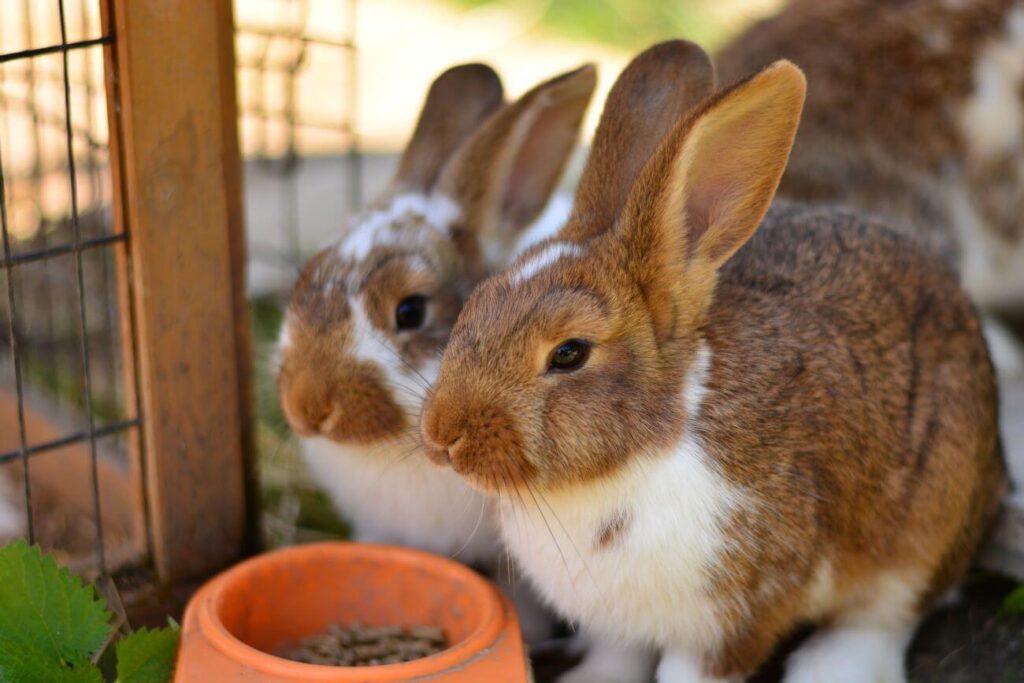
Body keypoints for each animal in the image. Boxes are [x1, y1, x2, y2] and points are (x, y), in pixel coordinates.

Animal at [417, 40, 1007, 679]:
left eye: (569, 354)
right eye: (476, 301)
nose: (441, 436)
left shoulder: (735, 615)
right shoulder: (615, 621)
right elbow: (614, 657)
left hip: (924, 527)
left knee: (883, 618)